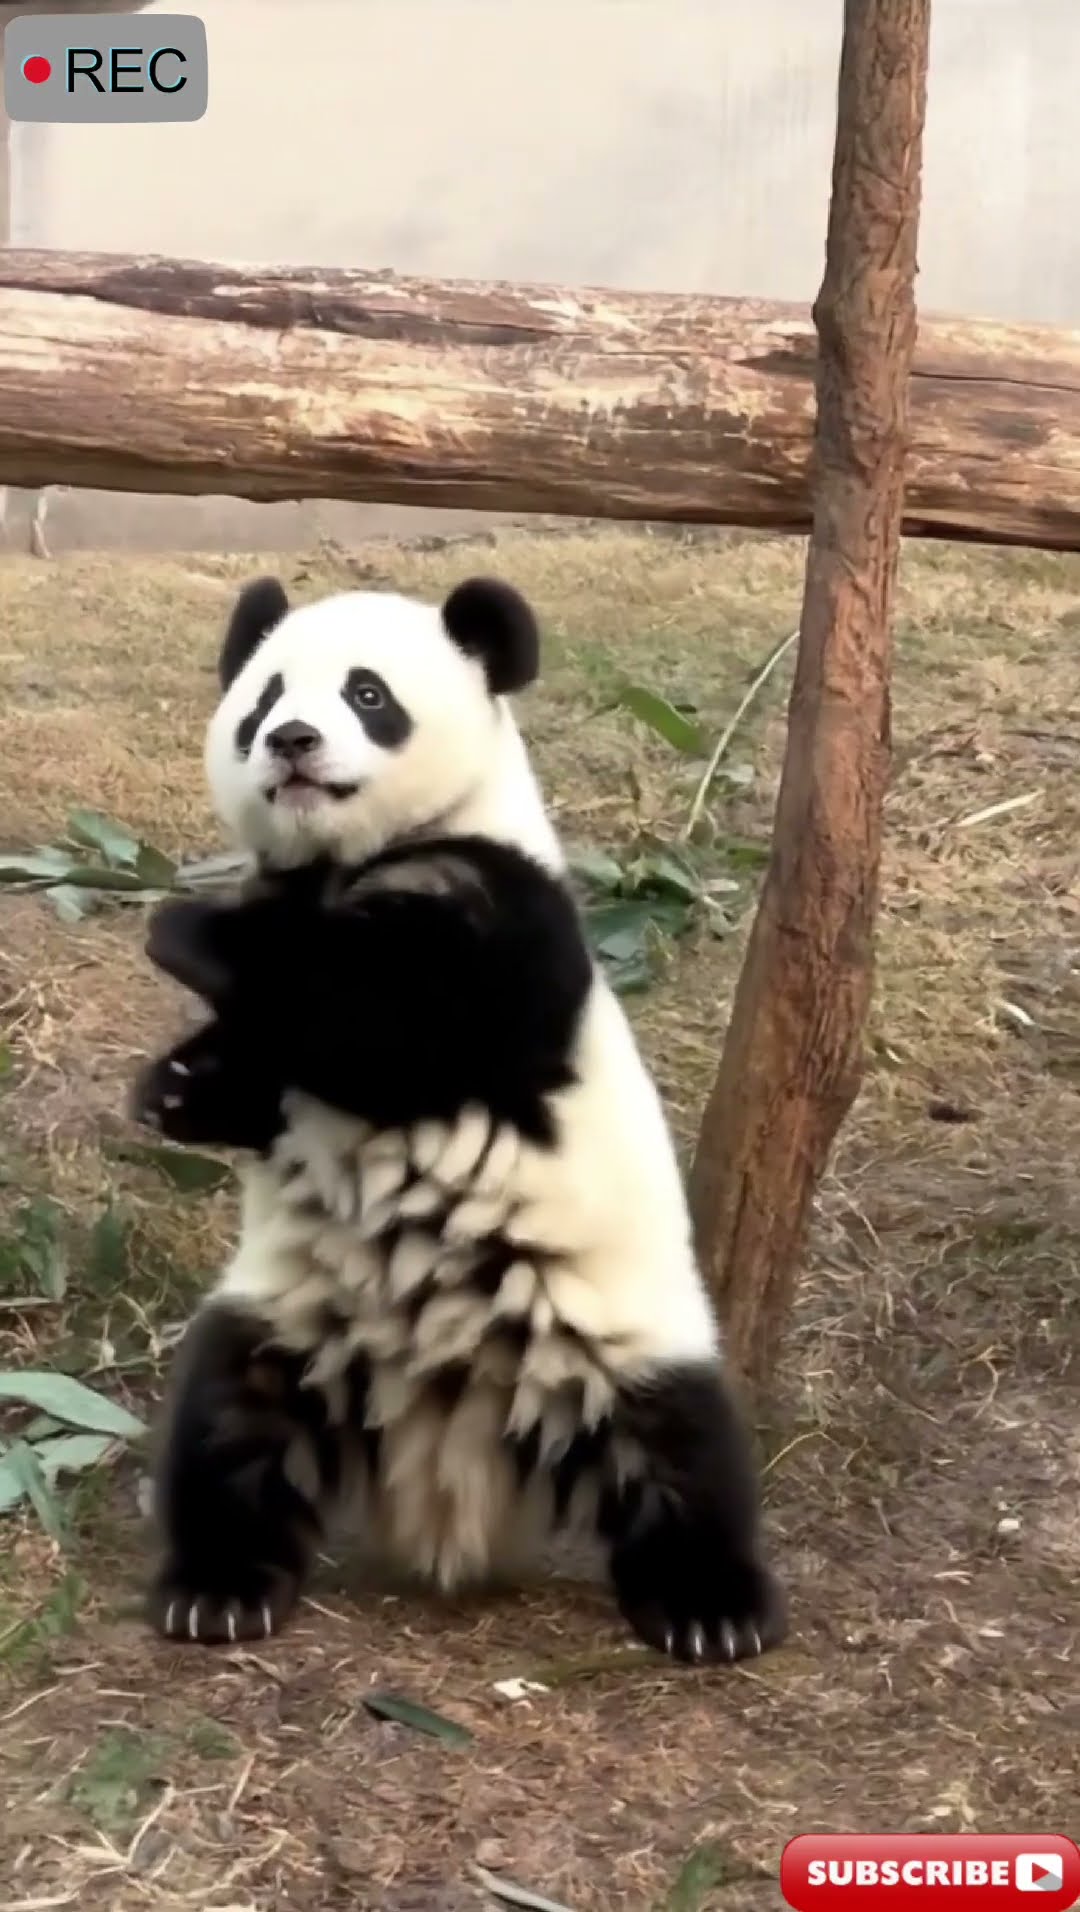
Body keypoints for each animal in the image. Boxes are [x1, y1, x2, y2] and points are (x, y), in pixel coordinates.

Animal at [132, 571, 787, 1667]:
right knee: (229, 1424)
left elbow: (388, 1018)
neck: (347, 860)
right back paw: (217, 1590)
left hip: (614, 1334)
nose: (292, 742)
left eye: (367, 695)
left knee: (681, 1453)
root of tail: (451, 1467)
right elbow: (267, 1075)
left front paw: (191, 926)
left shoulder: (505, 910)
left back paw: (713, 1609)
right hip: (293, 1322)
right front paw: (175, 1086)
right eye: (266, 696)